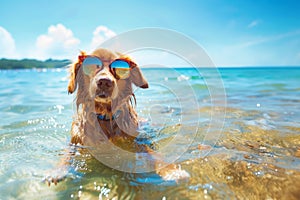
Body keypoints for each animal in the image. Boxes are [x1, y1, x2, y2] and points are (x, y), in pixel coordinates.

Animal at [45, 48, 189, 186]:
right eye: (91, 65)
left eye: (119, 68)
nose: (104, 82)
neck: (106, 116)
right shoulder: (77, 142)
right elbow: (67, 154)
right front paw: (57, 171)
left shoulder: (134, 141)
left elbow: (152, 153)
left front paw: (172, 171)